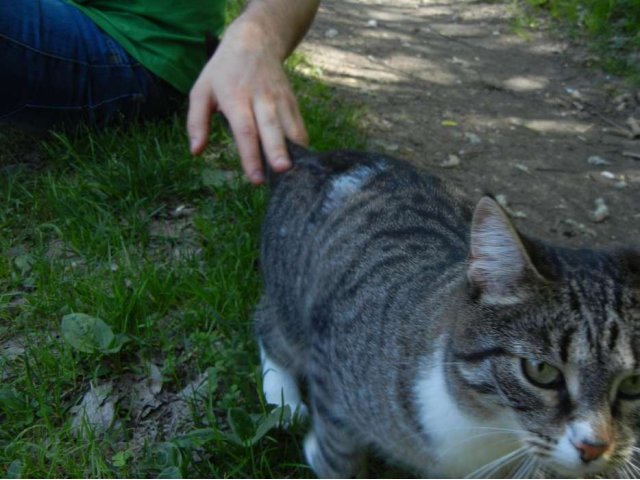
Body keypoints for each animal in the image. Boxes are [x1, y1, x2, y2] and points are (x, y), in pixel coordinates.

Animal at [252, 141, 640, 478]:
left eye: (634, 383)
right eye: (541, 370)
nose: (594, 447)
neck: (488, 428)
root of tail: (315, 157)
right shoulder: (330, 359)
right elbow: (339, 450)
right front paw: (321, 455)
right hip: (290, 298)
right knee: (269, 327)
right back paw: (283, 399)